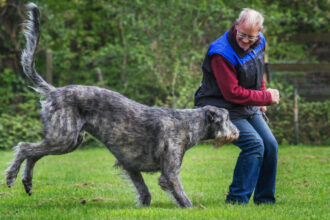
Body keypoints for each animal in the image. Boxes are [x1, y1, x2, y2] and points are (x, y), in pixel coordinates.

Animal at [4, 3, 237, 208]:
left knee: (33, 154)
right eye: (227, 119)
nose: (237, 133)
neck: (188, 123)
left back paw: (27, 183)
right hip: (63, 138)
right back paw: (11, 176)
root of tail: (54, 91)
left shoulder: (131, 165)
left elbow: (144, 192)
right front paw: (193, 209)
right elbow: (181, 196)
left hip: (69, 140)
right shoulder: (169, 173)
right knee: (25, 148)